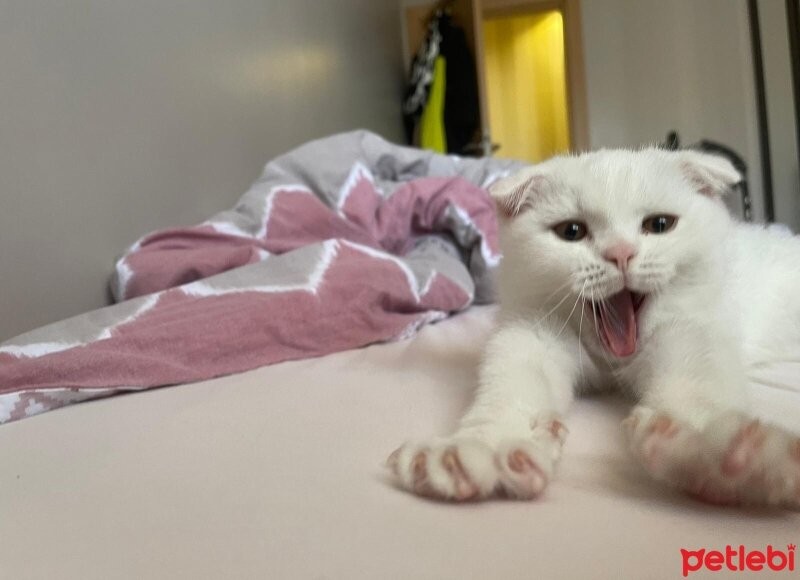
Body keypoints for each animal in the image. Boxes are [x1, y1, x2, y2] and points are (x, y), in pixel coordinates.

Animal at [388, 148, 800, 508]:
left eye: (659, 225)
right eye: (571, 231)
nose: (620, 253)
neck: (611, 361)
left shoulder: (691, 328)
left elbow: (696, 387)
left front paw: (714, 452)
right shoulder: (533, 331)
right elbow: (512, 385)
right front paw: (480, 446)